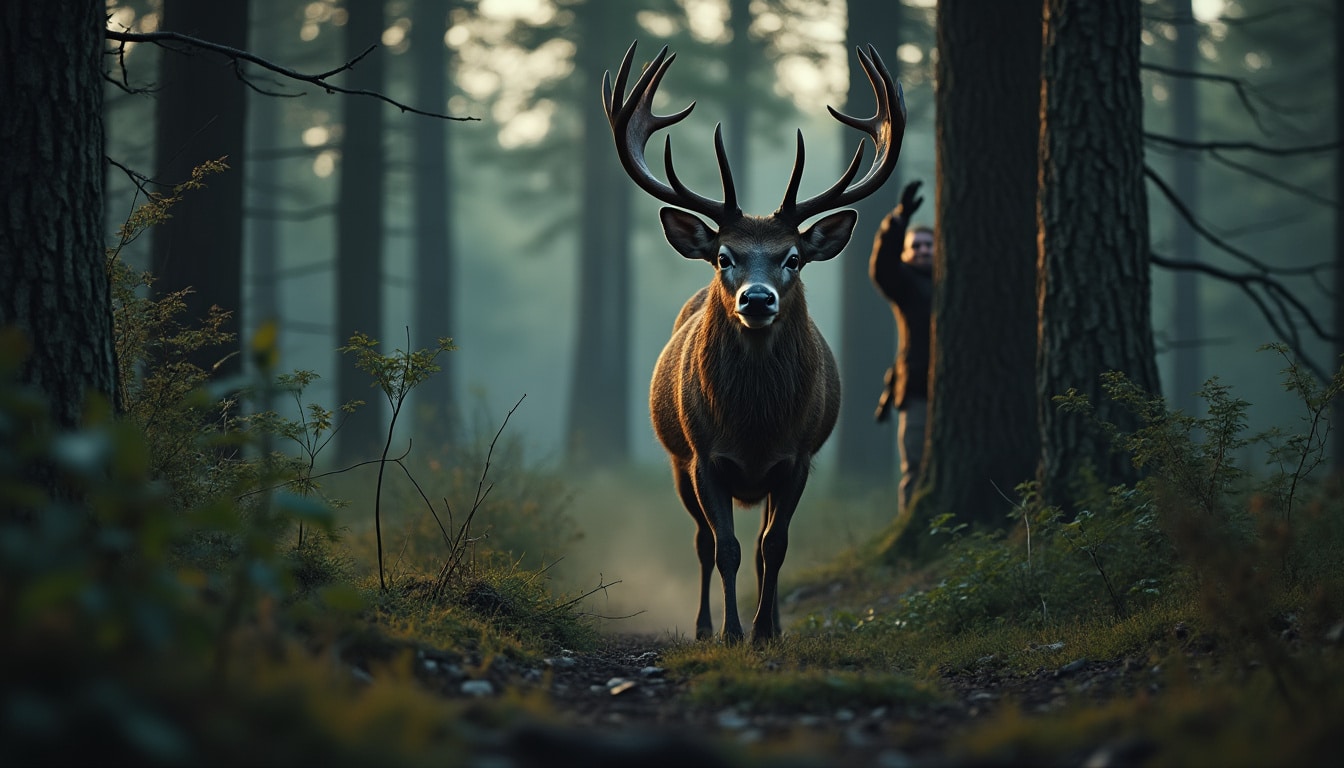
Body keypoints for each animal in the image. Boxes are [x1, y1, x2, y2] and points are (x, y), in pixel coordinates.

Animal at [602, 41, 906, 644]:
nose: (757, 300)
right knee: (699, 542)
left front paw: (766, 629)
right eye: (725, 256)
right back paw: (702, 626)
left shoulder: (799, 456)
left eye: (793, 258)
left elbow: (774, 547)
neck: (754, 426)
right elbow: (726, 548)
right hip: (677, 461)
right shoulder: (703, 456)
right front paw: (731, 631)